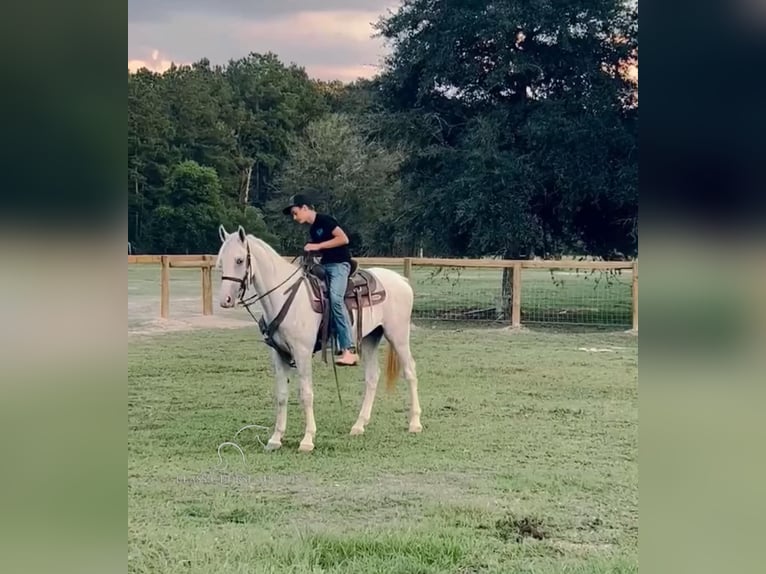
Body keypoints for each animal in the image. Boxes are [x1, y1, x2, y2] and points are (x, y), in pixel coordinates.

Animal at [216, 225, 424, 454]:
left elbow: (306, 394)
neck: (284, 296)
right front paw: (275, 439)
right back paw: (359, 425)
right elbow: (281, 395)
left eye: (239, 260)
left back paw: (415, 423)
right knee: (372, 377)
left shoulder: (302, 353)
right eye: (221, 261)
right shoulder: (279, 354)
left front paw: (307, 440)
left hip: (398, 335)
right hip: (370, 338)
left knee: (410, 371)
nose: (225, 300)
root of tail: (401, 281)